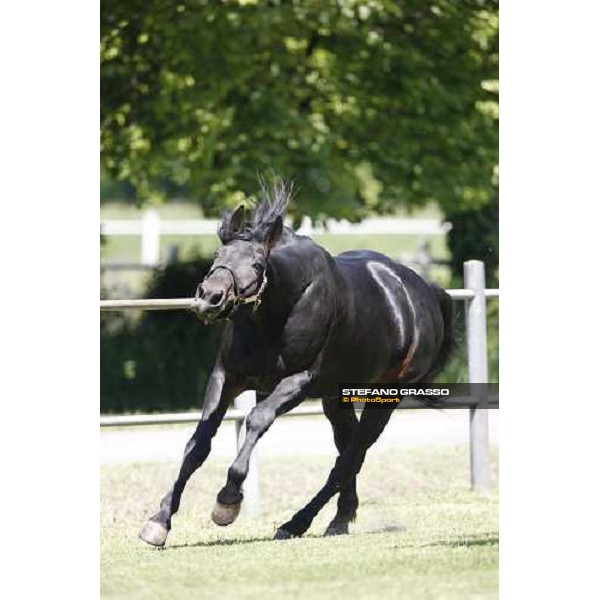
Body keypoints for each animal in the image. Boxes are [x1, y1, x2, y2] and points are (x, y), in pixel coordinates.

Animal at [138, 180, 452, 548]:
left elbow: (256, 420)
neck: (280, 308)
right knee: (346, 451)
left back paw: (295, 523)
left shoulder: (298, 382)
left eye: (257, 264)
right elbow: (198, 444)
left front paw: (227, 502)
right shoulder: (226, 377)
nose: (209, 299)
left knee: (351, 457)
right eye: (217, 256)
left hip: (385, 396)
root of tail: (424, 292)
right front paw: (159, 521)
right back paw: (339, 518)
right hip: (337, 397)